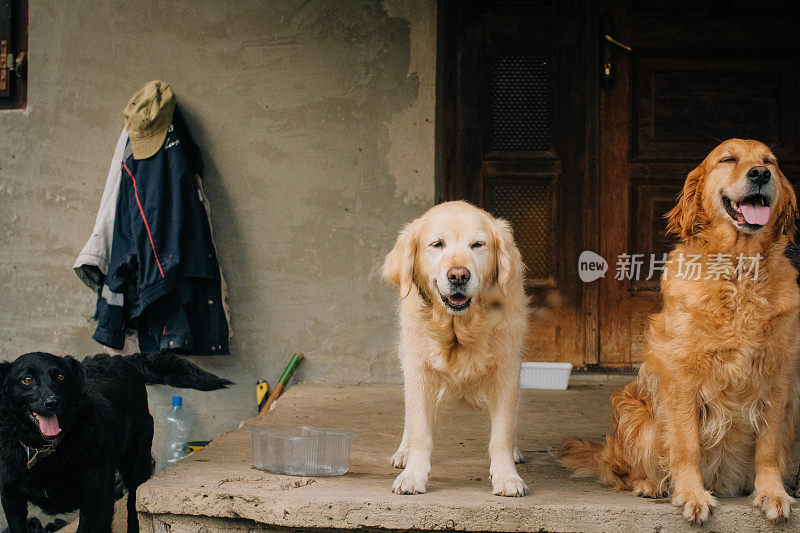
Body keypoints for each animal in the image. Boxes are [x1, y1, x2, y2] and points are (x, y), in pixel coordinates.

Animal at [0, 352, 231, 528]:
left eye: (60, 377)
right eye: (27, 379)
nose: (52, 402)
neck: (48, 449)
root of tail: (122, 359)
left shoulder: (97, 496)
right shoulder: (11, 497)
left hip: (136, 464)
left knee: (133, 509)